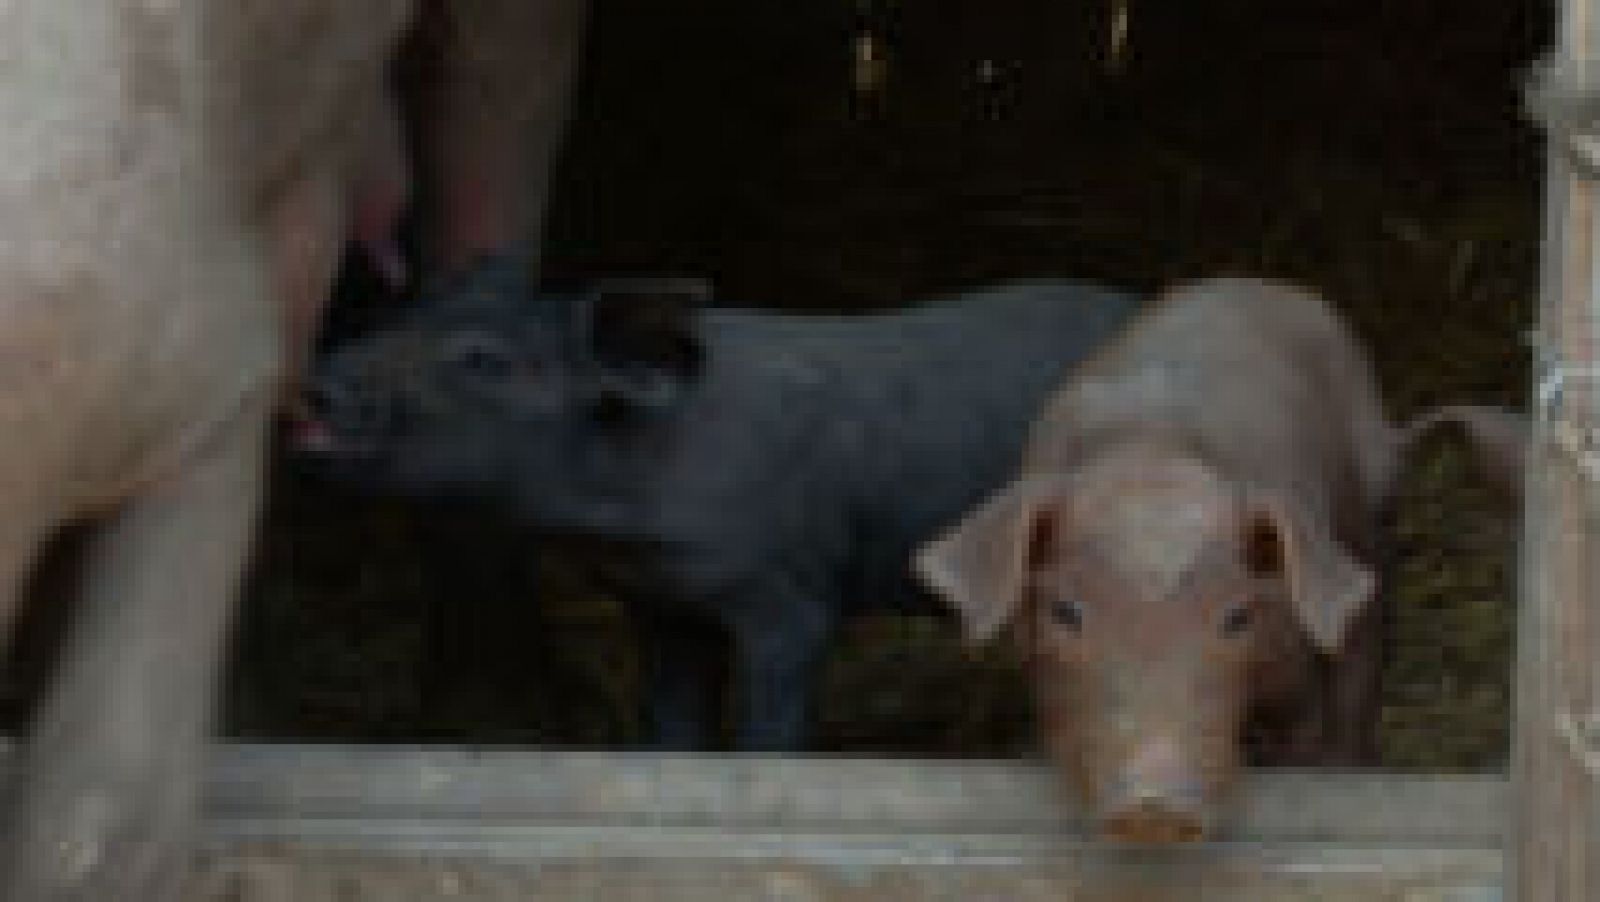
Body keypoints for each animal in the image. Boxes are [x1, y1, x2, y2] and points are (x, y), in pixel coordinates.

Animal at [292, 251, 1145, 751]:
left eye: (483, 361)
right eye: (394, 317)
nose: (316, 383)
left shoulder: (792, 590)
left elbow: (772, 719)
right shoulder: (663, 606)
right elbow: (671, 719)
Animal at [913, 276, 1519, 843]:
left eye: (1238, 616)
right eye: (1065, 611)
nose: (1152, 808)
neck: (1152, 453)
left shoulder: (1296, 669)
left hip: (1369, 524)